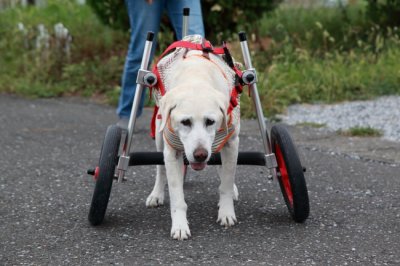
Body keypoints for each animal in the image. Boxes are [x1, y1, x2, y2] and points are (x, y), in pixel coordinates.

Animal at [147, 38, 241, 241]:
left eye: (210, 121)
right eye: (185, 122)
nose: (200, 155)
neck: (197, 79)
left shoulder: (231, 143)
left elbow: (226, 182)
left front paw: (226, 212)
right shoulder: (172, 152)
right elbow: (177, 196)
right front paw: (180, 226)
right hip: (159, 136)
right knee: (160, 169)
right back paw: (156, 194)